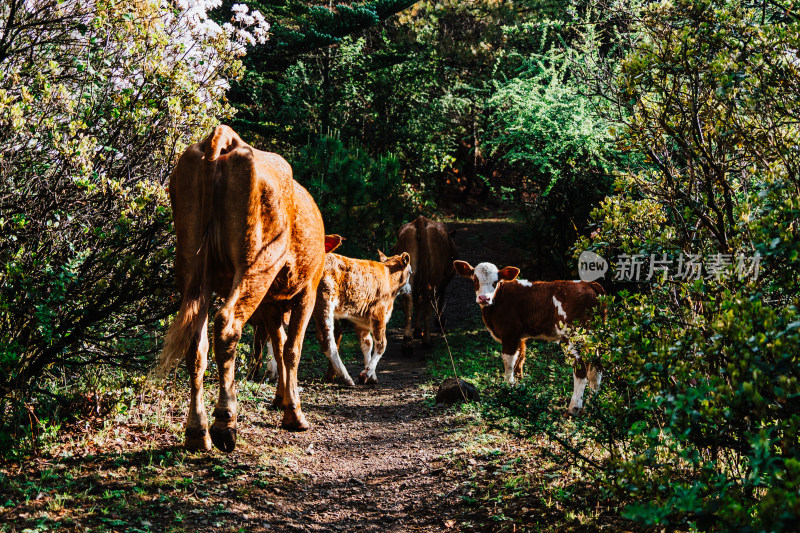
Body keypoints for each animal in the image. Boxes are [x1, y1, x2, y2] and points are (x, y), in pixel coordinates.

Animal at [158, 125, 326, 454]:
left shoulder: (271, 304)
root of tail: (227, 139)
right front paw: (294, 413)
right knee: (227, 325)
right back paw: (225, 423)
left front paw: (282, 400)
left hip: (192, 269)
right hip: (256, 265)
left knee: (197, 344)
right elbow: (292, 348)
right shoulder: (306, 292)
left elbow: (279, 345)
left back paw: (197, 432)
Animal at [312, 248, 412, 382]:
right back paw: (346, 377)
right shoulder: (378, 312)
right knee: (327, 340)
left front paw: (371, 376)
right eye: (410, 272)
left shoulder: (360, 319)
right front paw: (366, 373)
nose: (409, 288)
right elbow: (381, 344)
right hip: (325, 301)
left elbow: (367, 343)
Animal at [394, 214, 456, 352]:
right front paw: (440, 322)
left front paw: (417, 331)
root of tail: (420, 220)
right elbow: (439, 298)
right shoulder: (445, 279)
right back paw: (427, 340)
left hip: (409, 272)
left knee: (409, 300)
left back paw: (407, 342)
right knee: (429, 299)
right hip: (434, 275)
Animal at [454, 260, 604, 414]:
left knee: (581, 370)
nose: (484, 298)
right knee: (597, 366)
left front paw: (507, 387)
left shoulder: (509, 332)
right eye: (475, 280)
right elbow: (520, 359)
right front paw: (519, 385)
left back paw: (574, 407)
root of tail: (588, 284)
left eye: (496, 282)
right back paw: (593, 401)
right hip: (595, 337)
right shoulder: (519, 336)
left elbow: (508, 362)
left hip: (574, 337)